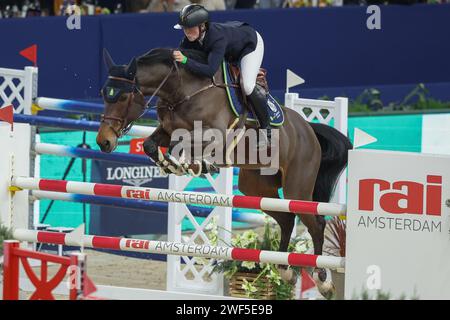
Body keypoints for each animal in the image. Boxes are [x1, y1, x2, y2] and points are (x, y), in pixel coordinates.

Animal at [96, 47, 354, 298]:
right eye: (103, 94)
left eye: (123, 96)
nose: (103, 142)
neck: (182, 90)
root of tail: (309, 129)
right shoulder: (167, 129)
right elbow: (152, 144)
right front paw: (173, 164)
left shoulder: (214, 136)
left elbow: (182, 142)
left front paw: (194, 165)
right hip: (256, 188)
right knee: (287, 219)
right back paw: (285, 270)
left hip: (296, 187)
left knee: (316, 223)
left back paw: (323, 281)